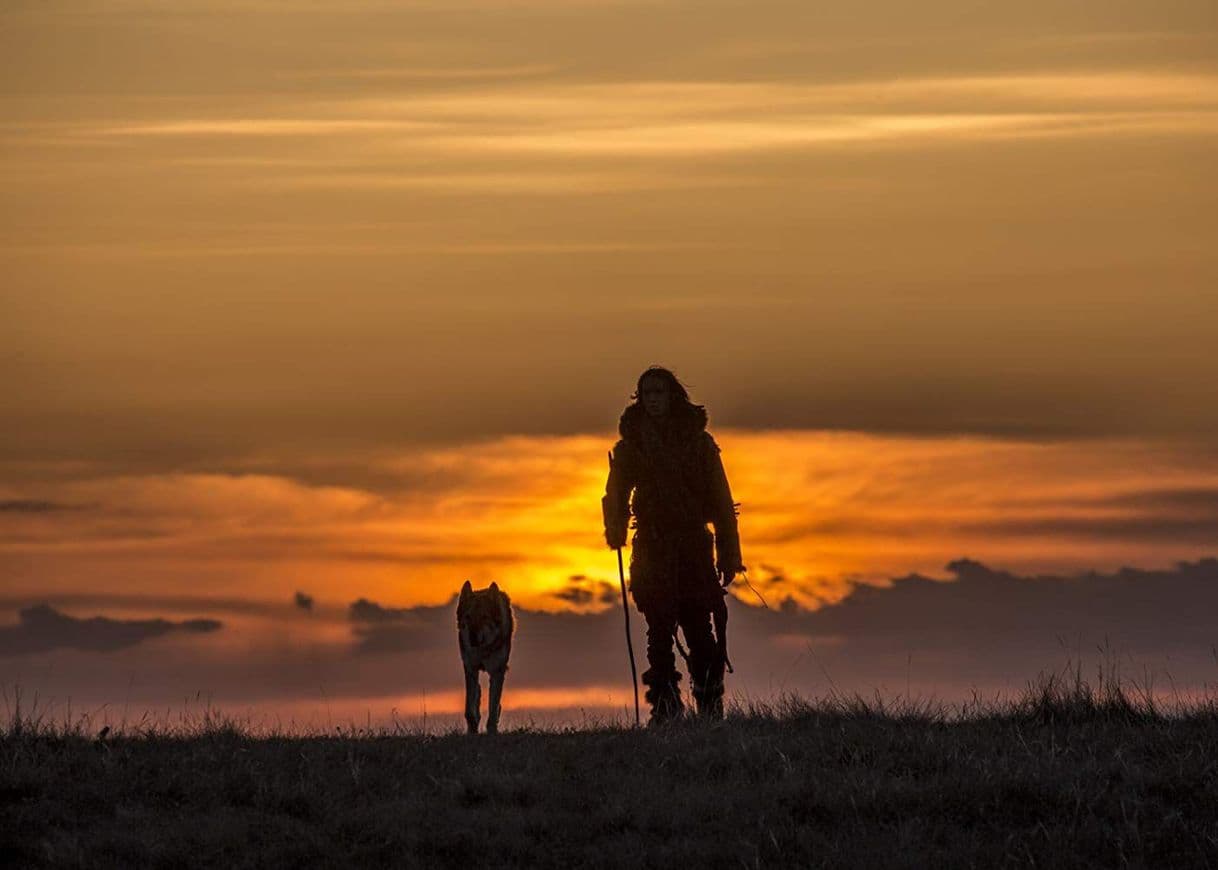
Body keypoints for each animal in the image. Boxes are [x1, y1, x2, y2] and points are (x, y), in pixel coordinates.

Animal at [457, 580, 513, 726]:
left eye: (484, 617)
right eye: (468, 617)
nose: (472, 637)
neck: (482, 650)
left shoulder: (497, 671)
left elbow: (493, 707)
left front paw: (492, 727)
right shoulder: (471, 668)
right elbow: (469, 709)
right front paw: (472, 727)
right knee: (477, 691)